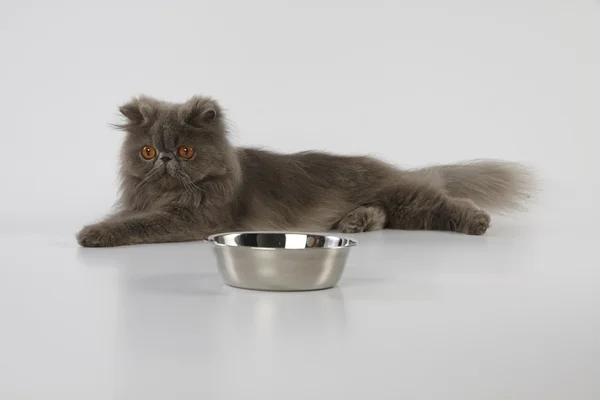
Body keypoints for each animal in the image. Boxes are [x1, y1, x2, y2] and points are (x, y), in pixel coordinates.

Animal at [76, 96, 536, 247]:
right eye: (148, 150)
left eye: (186, 151)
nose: (165, 160)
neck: (168, 193)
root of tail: (391, 168)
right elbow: (127, 217)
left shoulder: (193, 218)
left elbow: (137, 225)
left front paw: (91, 234)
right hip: (396, 204)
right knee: (386, 214)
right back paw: (356, 221)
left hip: (406, 197)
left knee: (444, 203)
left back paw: (477, 221)